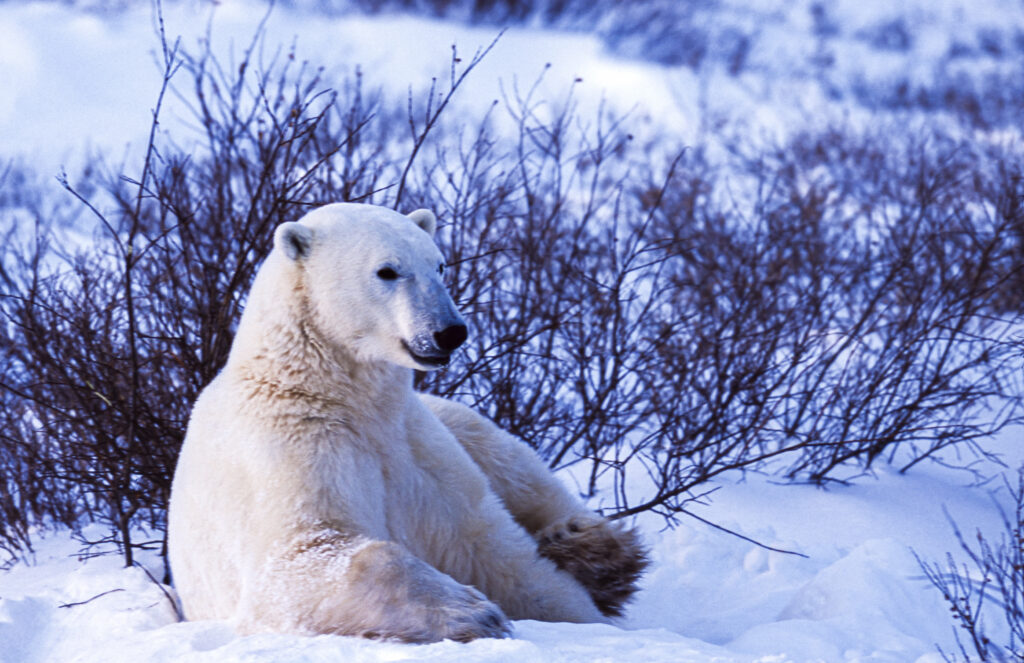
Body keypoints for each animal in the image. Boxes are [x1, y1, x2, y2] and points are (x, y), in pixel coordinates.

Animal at [167, 201, 647, 643]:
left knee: (514, 464)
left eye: (439, 264)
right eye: (387, 271)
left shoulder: (413, 446)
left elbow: (496, 552)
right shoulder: (291, 447)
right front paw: (471, 612)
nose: (449, 331)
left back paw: (596, 551)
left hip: (449, 415)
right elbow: (301, 557)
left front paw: (589, 620)